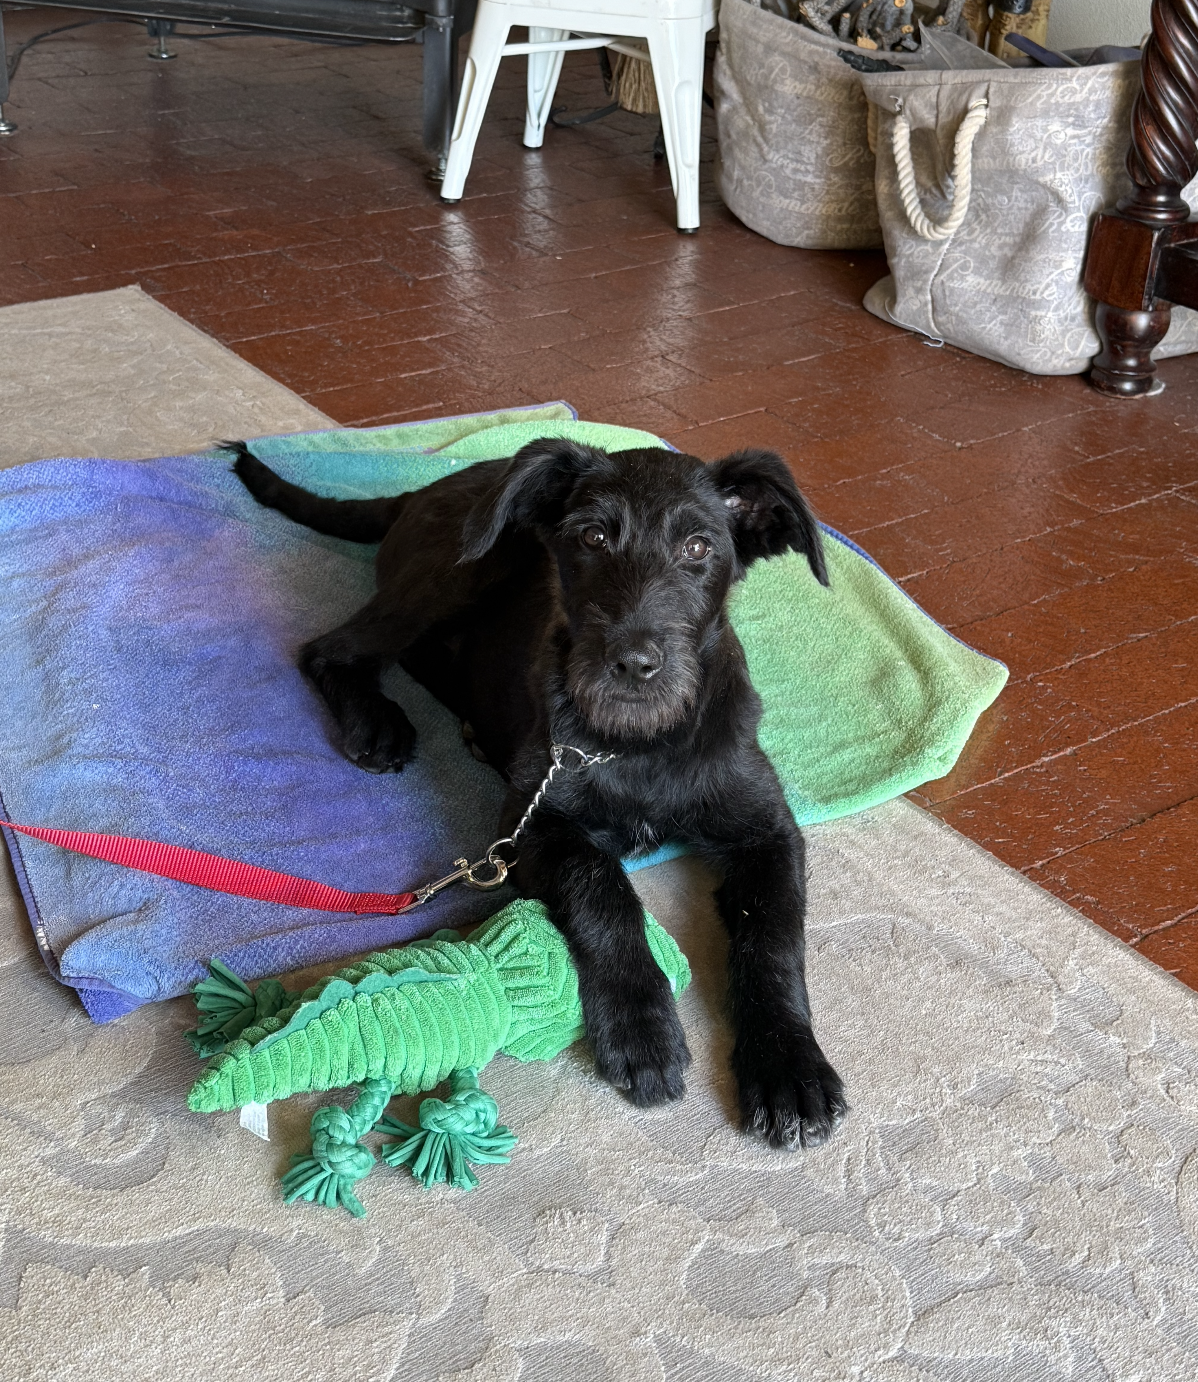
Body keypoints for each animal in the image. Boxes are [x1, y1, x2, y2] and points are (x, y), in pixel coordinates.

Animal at [228, 437, 847, 1148]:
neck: (637, 743)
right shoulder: (533, 824)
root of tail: (426, 490)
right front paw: (642, 1025)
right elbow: (603, 884)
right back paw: (377, 722)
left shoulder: (766, 831)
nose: (633, 666)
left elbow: (772, 938)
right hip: (460, 572)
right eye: (593, 537)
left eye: (698, 547)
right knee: (332, 649)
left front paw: (788, 1066)